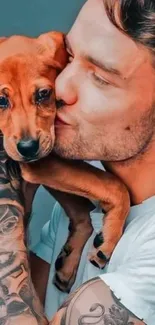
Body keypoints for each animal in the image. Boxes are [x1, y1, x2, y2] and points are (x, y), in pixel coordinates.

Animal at [0, 32, 130, 292]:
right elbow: (113, 184)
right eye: (0, 101)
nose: (28, 148)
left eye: (43, 94)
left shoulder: (47, 159)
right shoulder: (41, 163)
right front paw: (110, 236)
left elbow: (88, 202)